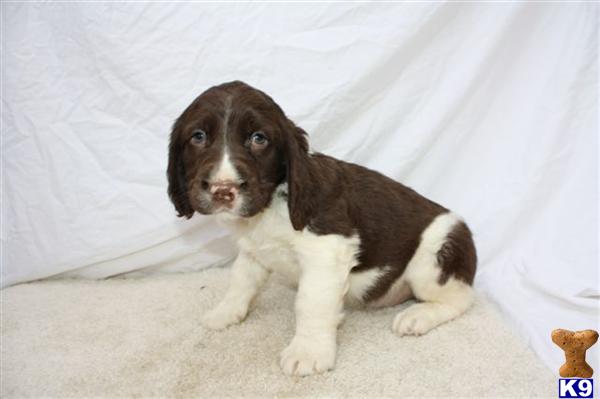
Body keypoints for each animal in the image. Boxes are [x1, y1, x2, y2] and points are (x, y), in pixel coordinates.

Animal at [166, 82, 476, 378]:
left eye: (259, 138)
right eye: (198, 137)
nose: (223, 190)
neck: (272, 203)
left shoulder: (327, 250)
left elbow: (310, 302)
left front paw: (308, 352)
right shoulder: (254, 249)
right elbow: (241, 280)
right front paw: (225, 313)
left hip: (434, 256)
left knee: (461, 298)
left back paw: (419, 316)